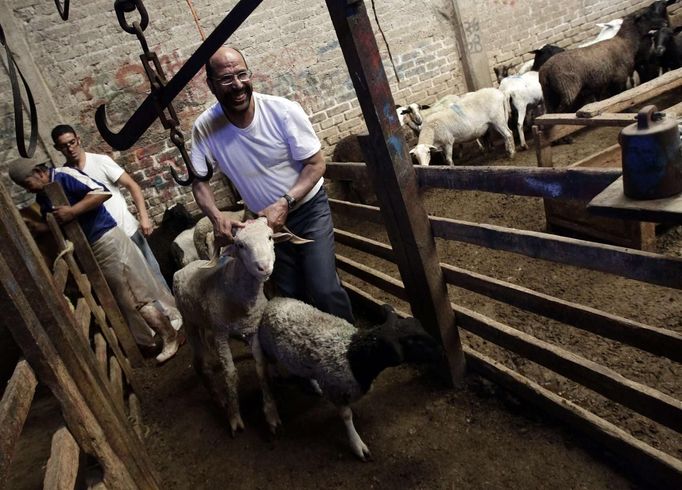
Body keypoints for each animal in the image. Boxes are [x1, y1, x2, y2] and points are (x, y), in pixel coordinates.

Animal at [256, 300, 440, 462]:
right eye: (412, 341)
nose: (441, 351)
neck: (354, 354)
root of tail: (273, 301)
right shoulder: (335, 389)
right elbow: (346, 416)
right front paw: (357, 444)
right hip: (264, 348)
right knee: (264, 379)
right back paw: (271, 413)